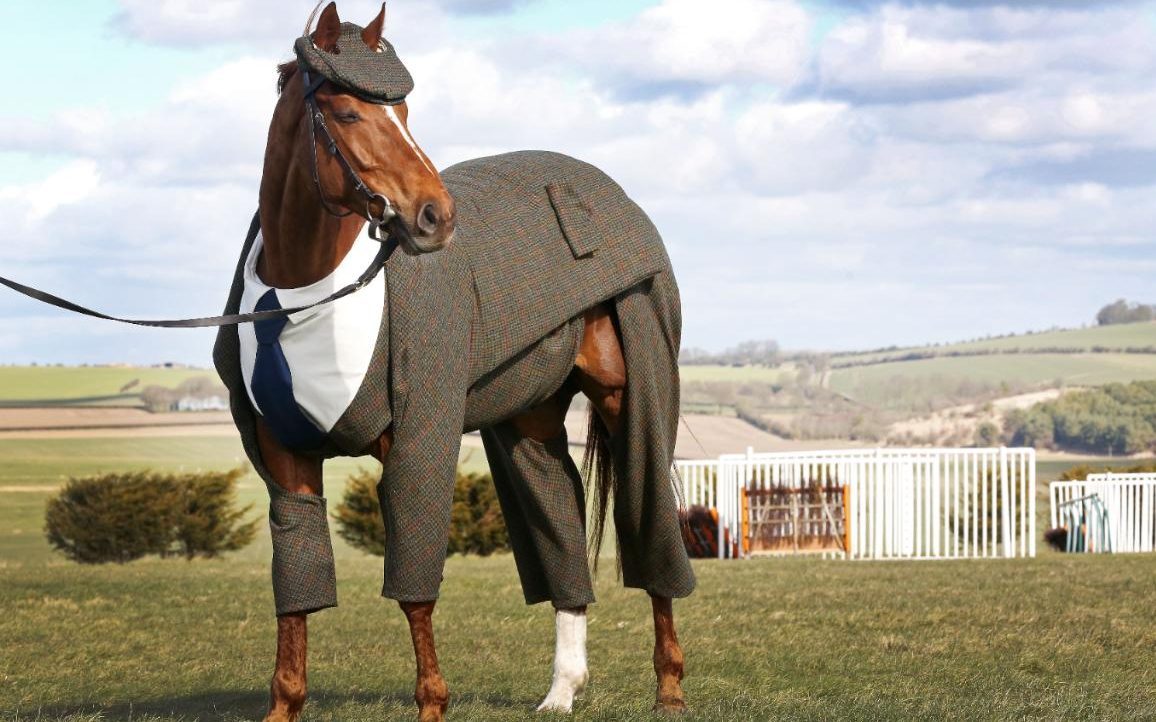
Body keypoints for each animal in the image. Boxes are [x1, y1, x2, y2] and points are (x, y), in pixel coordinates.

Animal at [212, 2, 688, 716]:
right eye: (347, 112)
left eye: (404, 111)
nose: (434, 216)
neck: (306, 297)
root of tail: (605, 193)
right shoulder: (285, 458)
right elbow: (297, 589)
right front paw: (284, 704)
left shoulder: (417, 438)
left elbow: (414, 587)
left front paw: (433, 701)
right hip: (527, 421)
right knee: (560, 524)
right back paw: (562, 691)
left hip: (631, 392)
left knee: (649, 515)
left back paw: (669, 687)